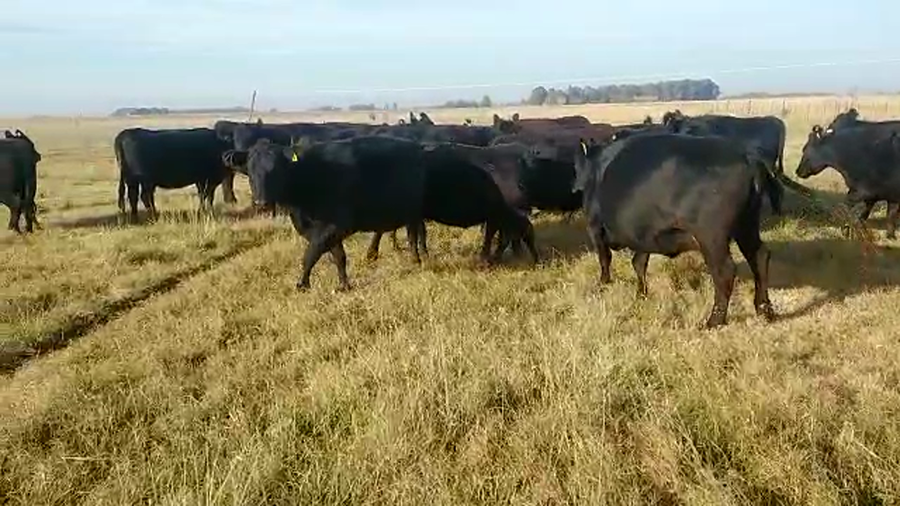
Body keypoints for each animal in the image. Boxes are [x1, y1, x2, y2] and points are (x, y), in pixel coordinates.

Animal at [573, 133, 781, 328]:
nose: (575, 187)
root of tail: (748, 157)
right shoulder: (644, 235)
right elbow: (639, 263)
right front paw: (641, 294)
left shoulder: (596, 227)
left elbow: (605, 259)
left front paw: (603, 285)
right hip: (746, 226)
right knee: (760, 257)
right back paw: (764, 309)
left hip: (711, 237)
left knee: (725, 271)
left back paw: (714, 320)